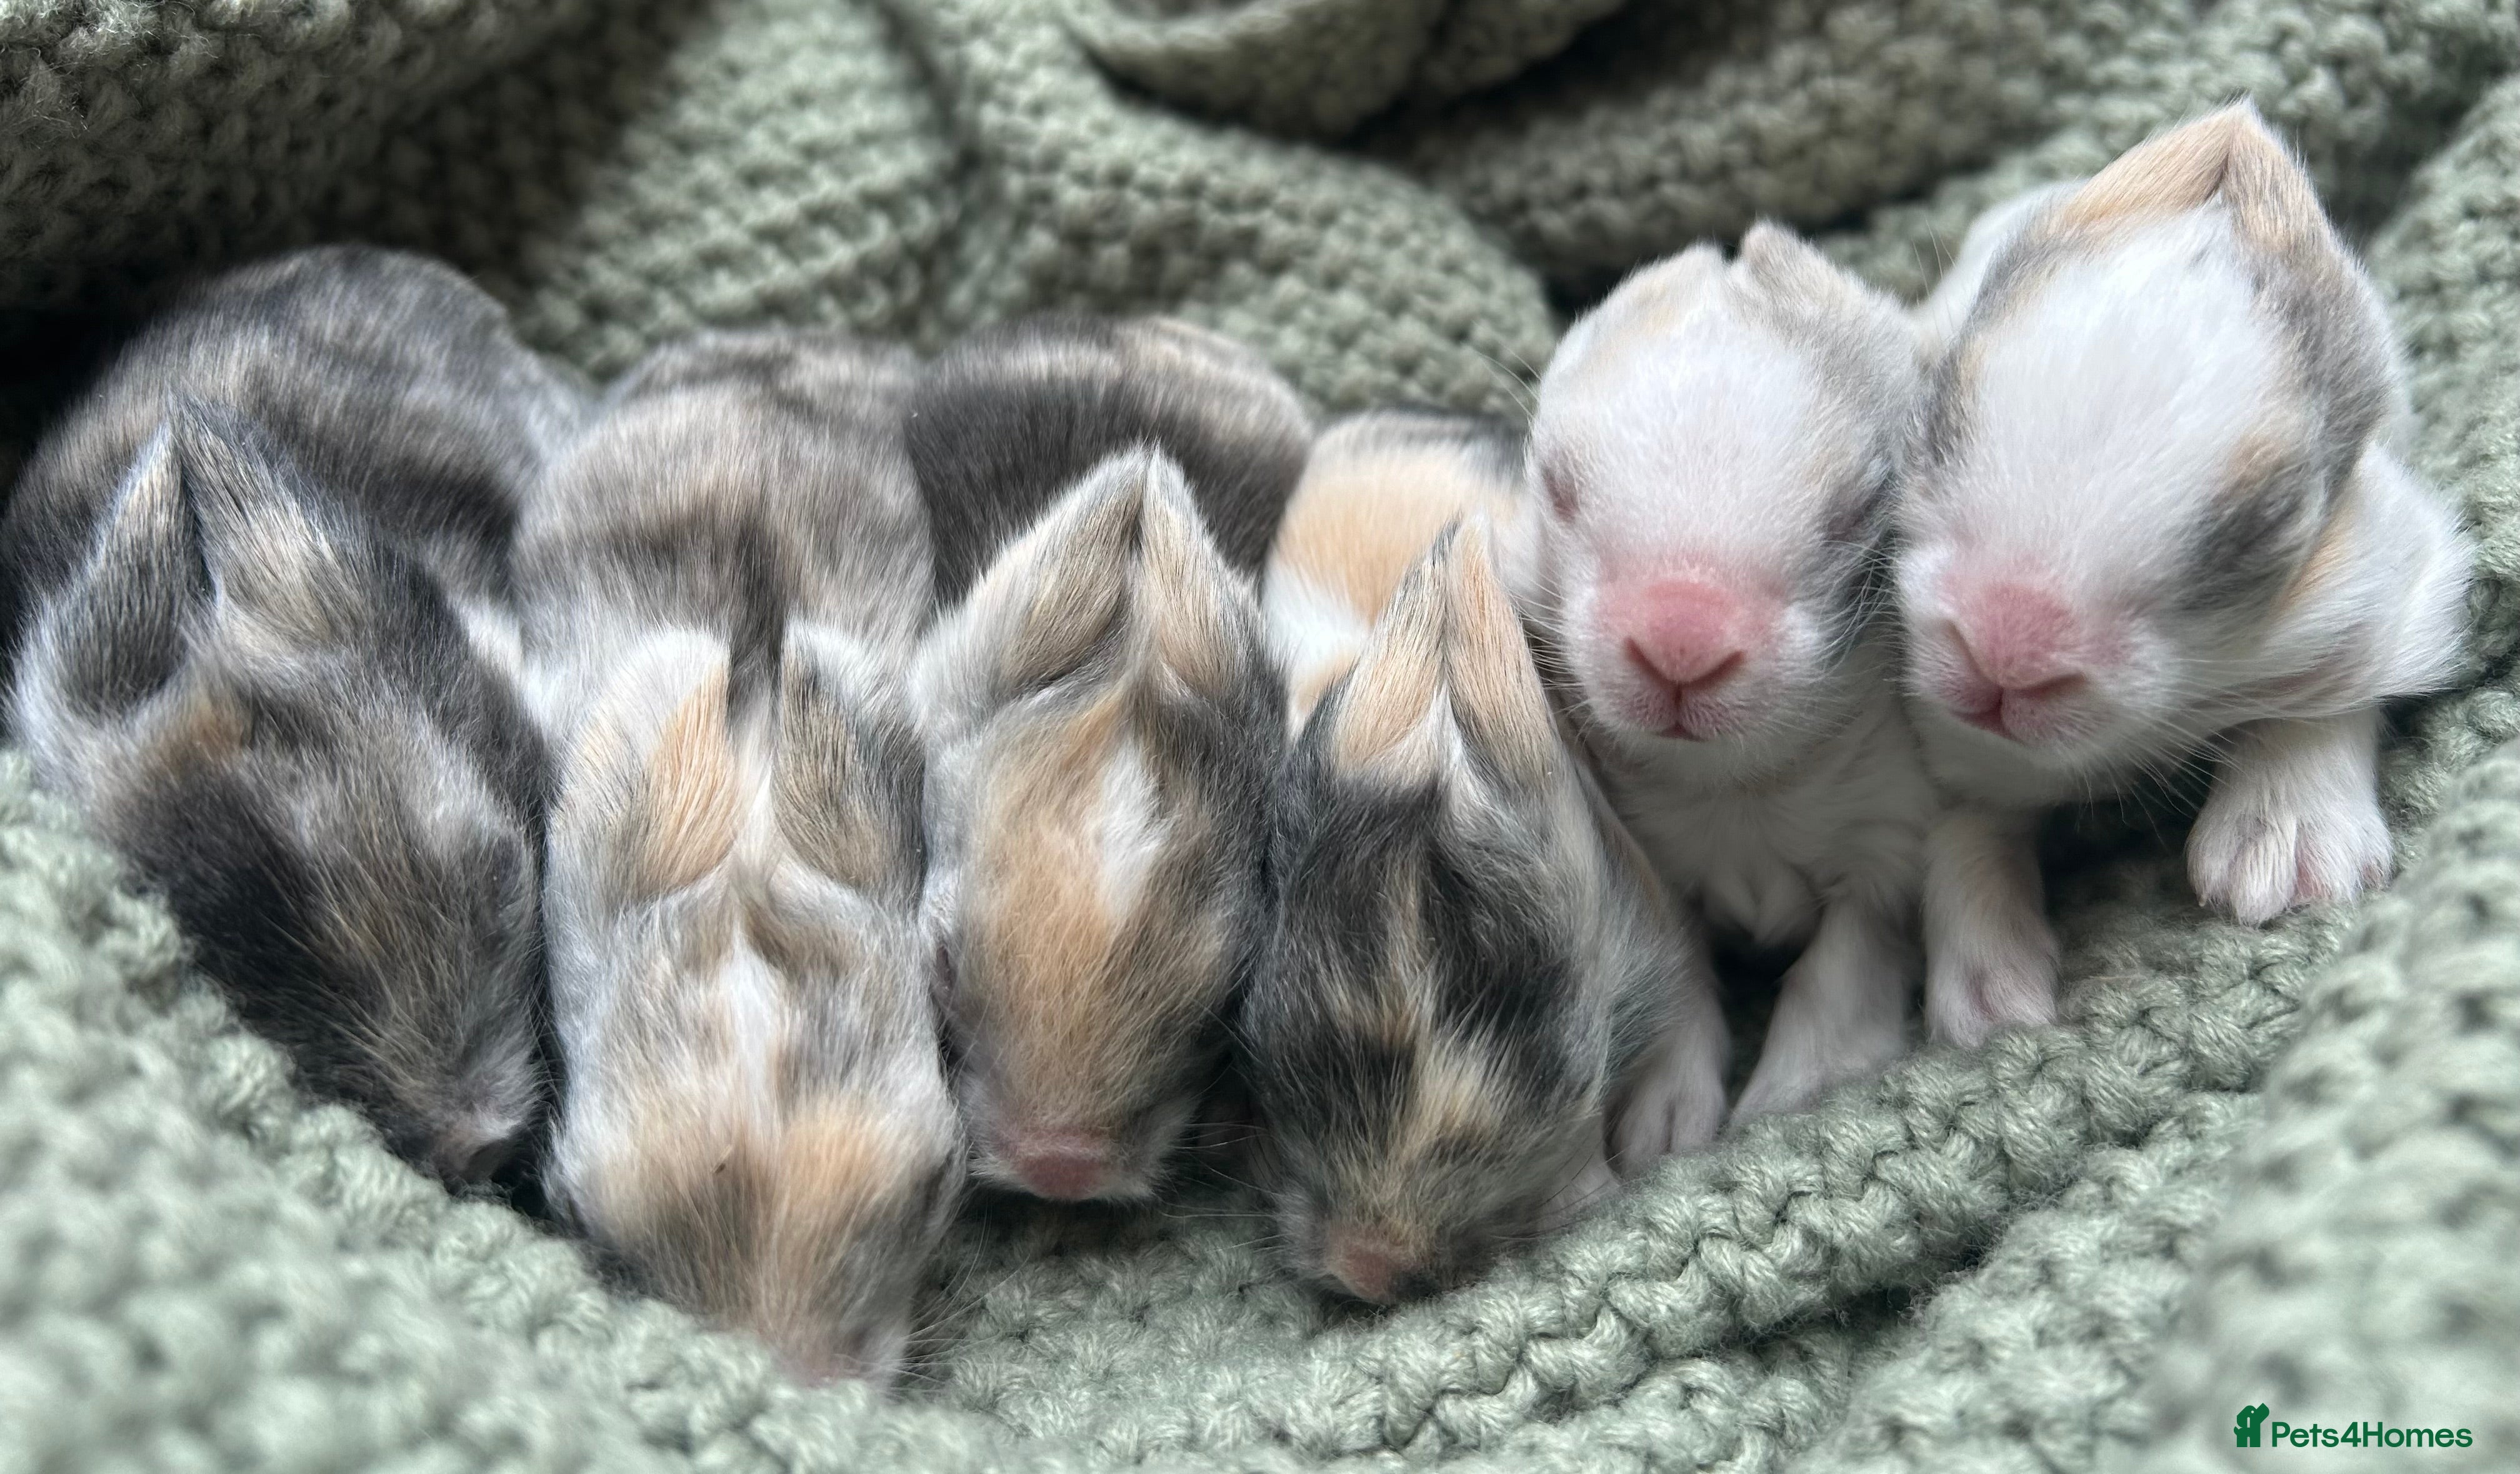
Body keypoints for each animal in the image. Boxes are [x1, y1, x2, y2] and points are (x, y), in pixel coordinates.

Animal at [1517, 225, 1941, 1123]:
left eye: (1862, 509)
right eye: (1558, 488)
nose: (1681, 644)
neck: (1738, 781)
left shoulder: (1892, 833)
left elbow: (1844, 962)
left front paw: (1796, 1088)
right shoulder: (1643, 857)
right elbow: (1678, 964)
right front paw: (1666, 1111)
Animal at [1894, 102, 2475, 1045]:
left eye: (2272, 521)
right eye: (1937, 410)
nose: (2003, 659)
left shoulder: (2383, 582)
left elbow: (2322, 702)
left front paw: (2284, 861)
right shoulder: (1948, 747)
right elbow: (1963, 826)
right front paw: (1991, 1005)